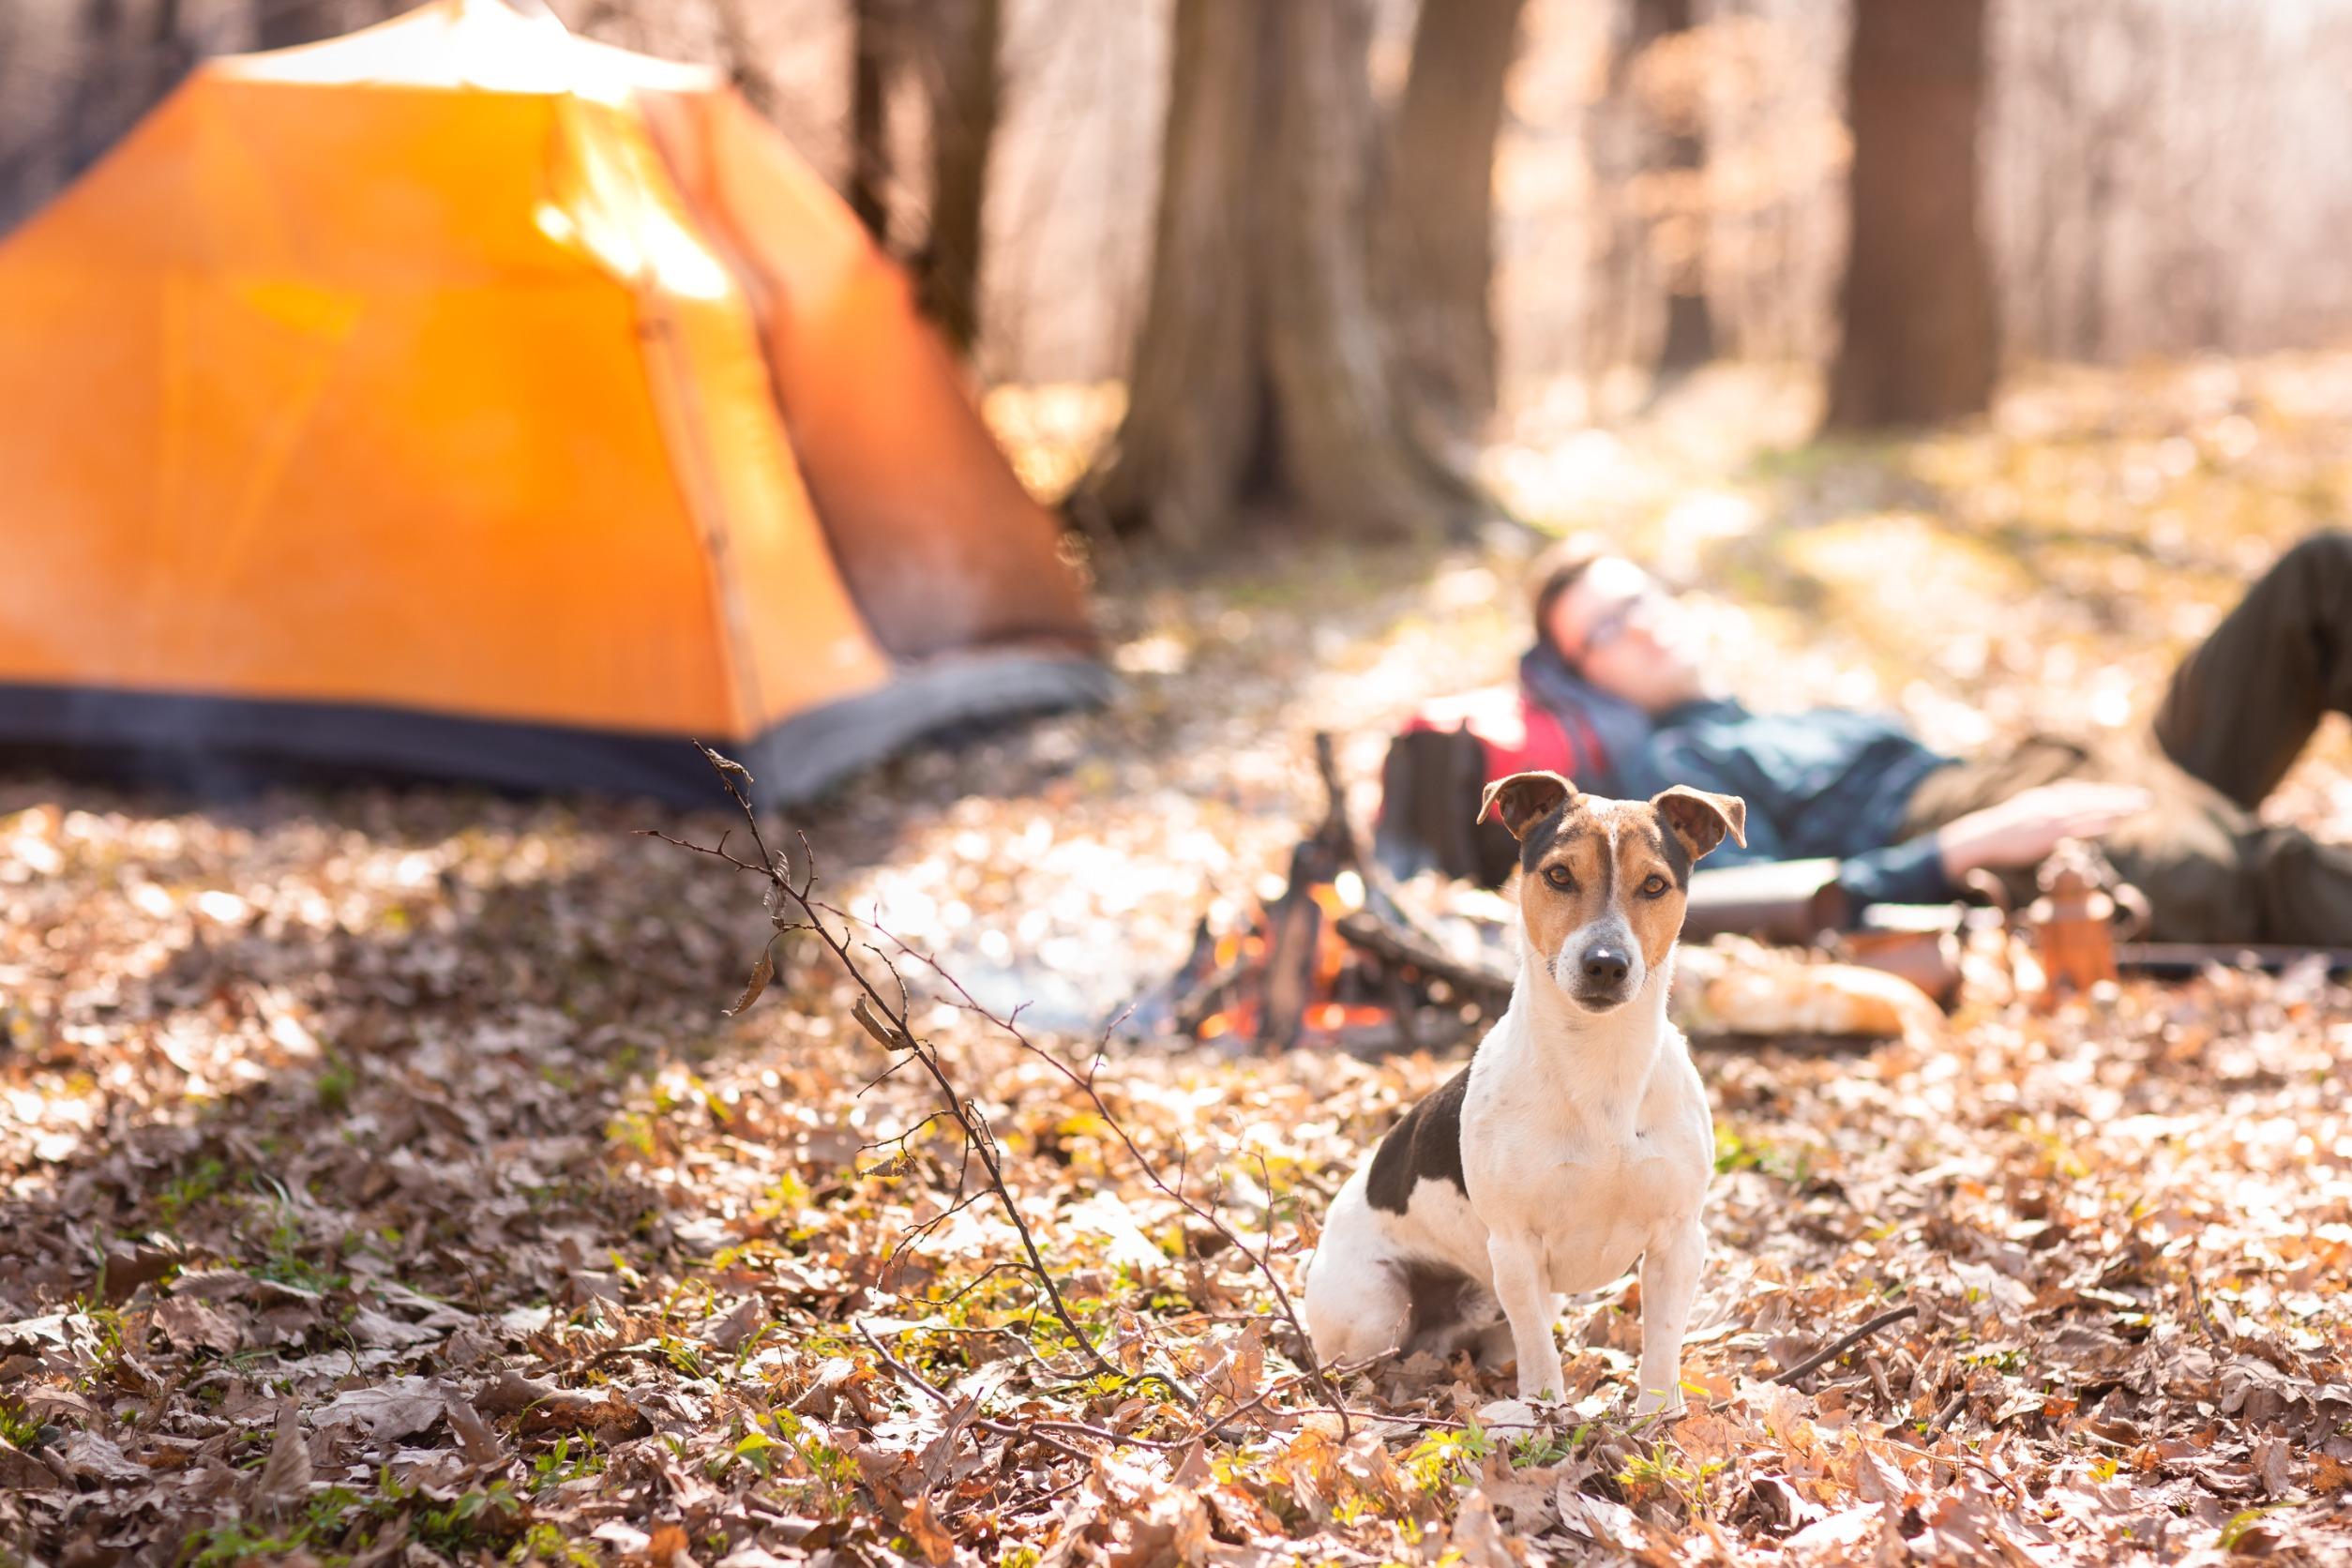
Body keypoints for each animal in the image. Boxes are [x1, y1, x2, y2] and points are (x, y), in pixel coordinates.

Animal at [1307, 771, 1749, 1410]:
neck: (1600, 1063)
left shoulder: (1679, 1240)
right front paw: (1544, 1417)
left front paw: (1659, 1422)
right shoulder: (1515, 1248)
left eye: (1655, 884)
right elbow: (1541, 1357)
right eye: (1560, 875)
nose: (1606, 964)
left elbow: (1662, 1349)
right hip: (1375, 1309)